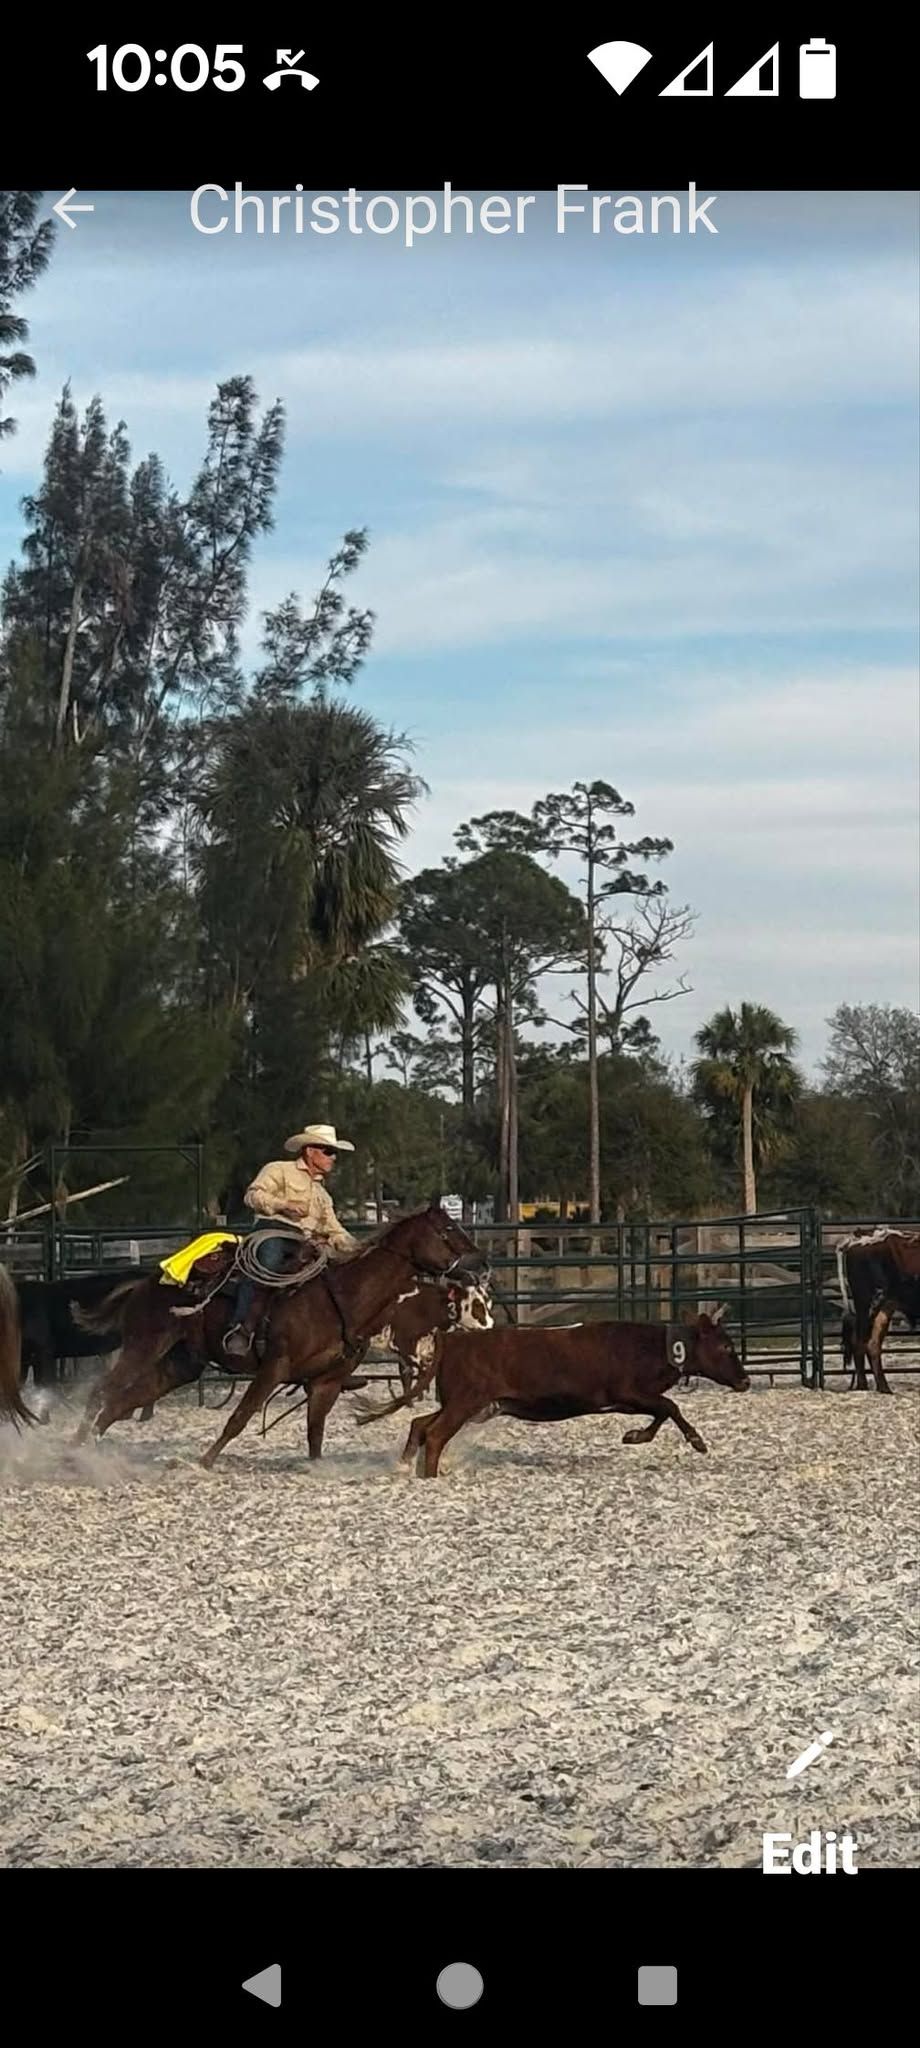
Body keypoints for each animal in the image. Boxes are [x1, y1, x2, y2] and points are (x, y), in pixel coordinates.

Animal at [75, 1196, 483, 1474]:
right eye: (449, 1230)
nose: (482, 1263)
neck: (343, 1296)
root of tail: (145, 1282)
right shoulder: (274, 1367)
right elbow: (240, 1416)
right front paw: (205, 1461)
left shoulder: (327, 1381)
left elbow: (315, 1430)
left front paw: (316, 1466)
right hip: (144, 1345)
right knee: (103, 1392)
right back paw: (76, 1446)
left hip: (182, 1363)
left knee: (126, 1400)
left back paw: (92, 1446)